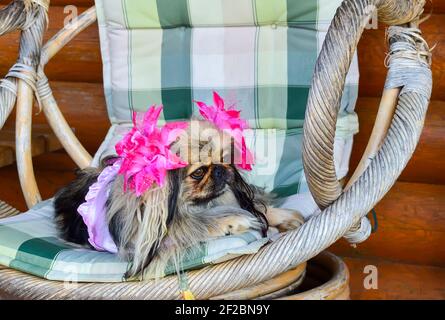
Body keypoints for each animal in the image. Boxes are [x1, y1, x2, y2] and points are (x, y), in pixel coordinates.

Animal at [53, 116, 304, 278]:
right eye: (199, 172)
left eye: (225, 159)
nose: (221, 170)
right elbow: (200, 222)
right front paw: (234, 220)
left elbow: (259, 208)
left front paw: (283, 216)